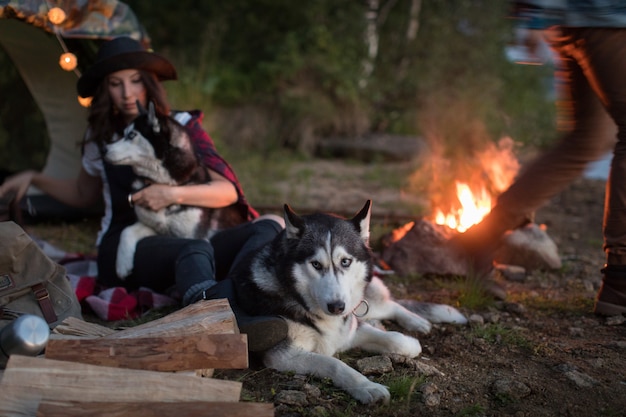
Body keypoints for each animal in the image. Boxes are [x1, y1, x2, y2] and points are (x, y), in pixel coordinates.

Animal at [102, 101, 241, 278]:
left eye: (132, 135)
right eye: (124, 133)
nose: (104, 149)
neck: (164, 183)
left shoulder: (193, 235)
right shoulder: (156, 227)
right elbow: (126, 230)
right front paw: (122, 265)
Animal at [229, 201, 464, 404]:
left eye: (345, 261)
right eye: (316, 264)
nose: (337, 307)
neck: (303, 302)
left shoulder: (350, 327)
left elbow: (395, 339)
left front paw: (409, 343)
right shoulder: (285, 356)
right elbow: (336, 364)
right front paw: (368, 387)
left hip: (361, 302)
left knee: (390, 304)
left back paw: (417, 321)